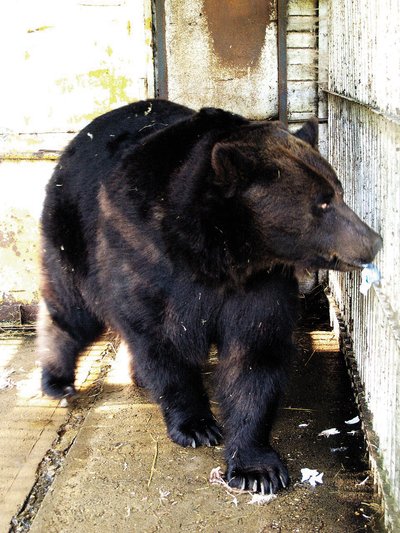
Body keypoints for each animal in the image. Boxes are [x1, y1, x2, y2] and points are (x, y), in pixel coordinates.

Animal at [39, 97, 382, 492]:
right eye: (322, 202)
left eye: (339, 190)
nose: (374, 241)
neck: (218, 254)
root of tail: (77, 139)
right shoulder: (147, 262)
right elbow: (161, 344)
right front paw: (196, 425)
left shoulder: (260, 284)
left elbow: (254, 354)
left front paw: (257, 468)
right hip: (73, 234)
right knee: (70, 309)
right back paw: (57, 380)